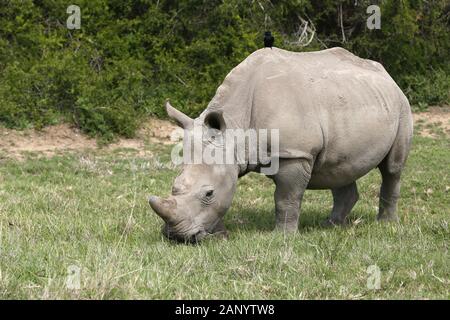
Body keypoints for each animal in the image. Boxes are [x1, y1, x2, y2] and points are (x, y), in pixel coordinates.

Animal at [149, 47, 414, 242]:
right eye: (174, 186)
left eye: (208, 193)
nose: (176, 237)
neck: (235, 128)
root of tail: (387, 75)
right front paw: (220, 234)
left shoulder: (295, 154)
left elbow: (286, 197)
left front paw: (282, 237)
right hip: (353, 100)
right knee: (339, 168)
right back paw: (330, 225)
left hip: (401, 105)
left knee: (392, 168)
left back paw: (386, 225)